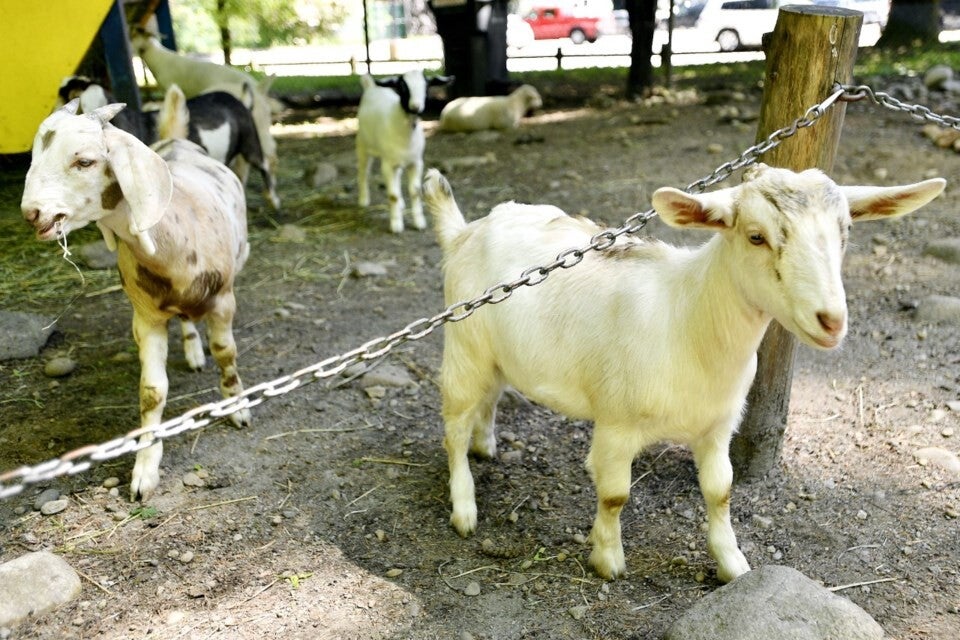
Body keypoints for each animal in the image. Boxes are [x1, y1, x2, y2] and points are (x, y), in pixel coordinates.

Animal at [21, 101, 252, 501]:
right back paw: (193, 350)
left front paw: (236, 406)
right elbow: (152, 392)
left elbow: (226, 353)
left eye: (84, 161)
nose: (32, 213)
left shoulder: (223, 300)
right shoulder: (145, 317)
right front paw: (144, 471)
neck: (173, 237)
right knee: (185, 320)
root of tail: (176, 140)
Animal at [356, 70, 453, 233]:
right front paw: (396, 225)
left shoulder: (416, 162)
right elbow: (393, 195)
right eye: (402, 86)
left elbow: (415, 191)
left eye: (426, 86)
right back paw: (363, 200)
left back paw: (401, 204)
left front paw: (419, 222)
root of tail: (371, 87)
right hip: (363, 145)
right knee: (364, 172)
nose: (415, 107)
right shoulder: (388, 164)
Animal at [422, 165, 945, 583]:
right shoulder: (615, 423)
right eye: (756, 236)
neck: (687, 319)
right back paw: (465, 506)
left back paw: (486, 444)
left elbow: (721, 491)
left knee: (488, 398)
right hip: (463, 345)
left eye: (845, 233)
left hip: (495, 354)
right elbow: (614, 495)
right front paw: (607, 560)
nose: (831, 320)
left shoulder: (718, 425)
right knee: (453, 426)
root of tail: (464, 232)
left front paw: (732, 564)